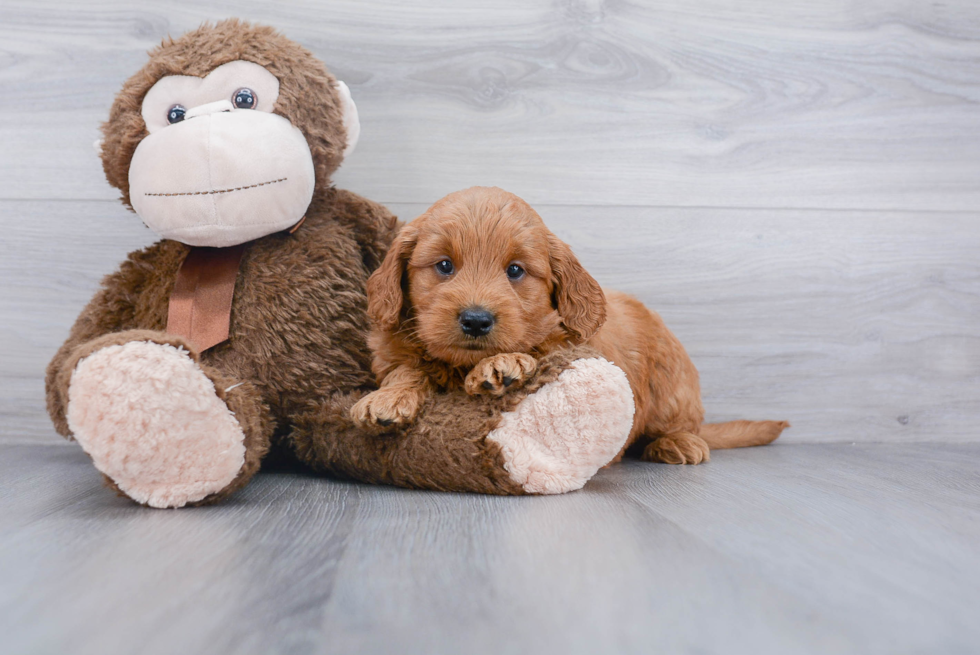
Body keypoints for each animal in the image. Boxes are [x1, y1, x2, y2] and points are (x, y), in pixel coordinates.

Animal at [352, 184, 788, 464]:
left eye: (515, 270)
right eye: (444, 265)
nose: (476, 320)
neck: (460, 365)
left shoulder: (575, 345)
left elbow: (542, 348)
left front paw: (502, 364)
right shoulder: (395, 351)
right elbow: (406, 370)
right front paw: (386, 399)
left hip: (673, 391)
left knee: (684, 426)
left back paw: (678, 444)